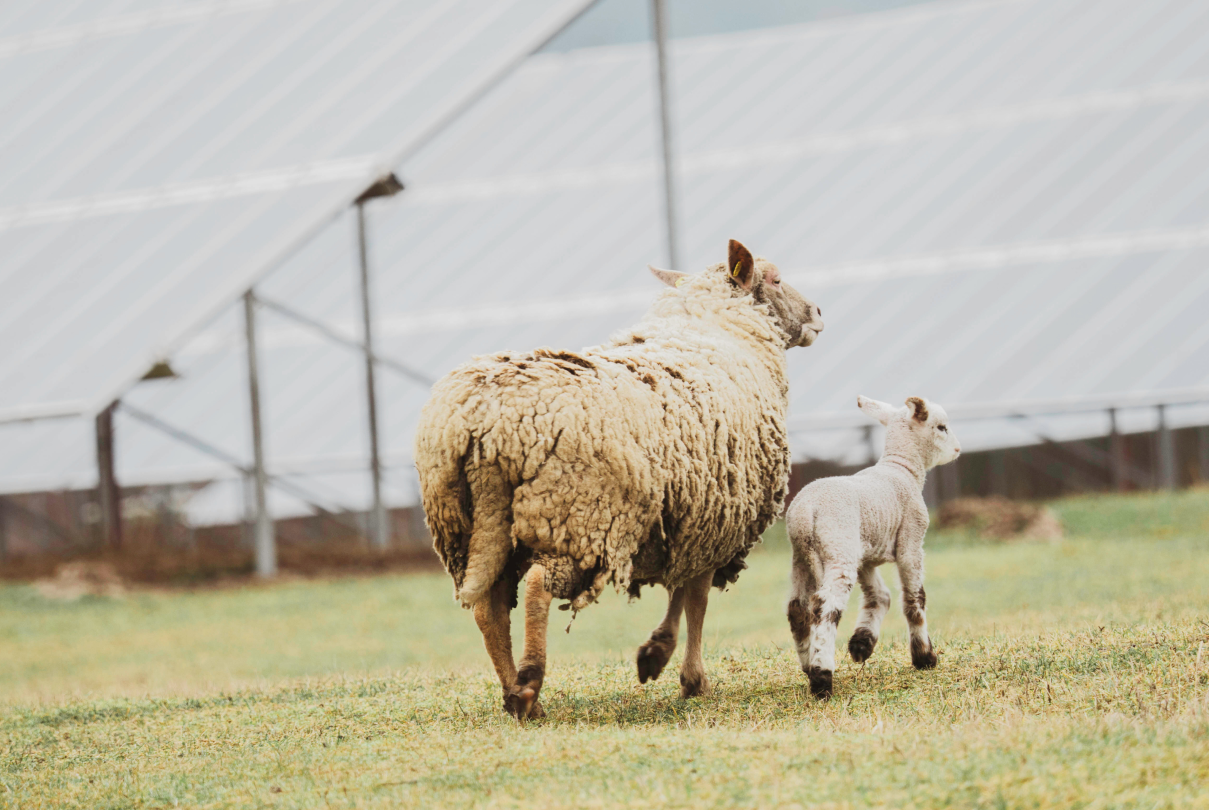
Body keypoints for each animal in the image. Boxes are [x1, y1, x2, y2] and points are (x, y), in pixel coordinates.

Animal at [413, 241, 822, 725]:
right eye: (774, 278)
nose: (818, 313)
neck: (714, 331)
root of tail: (485, 427)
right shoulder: (711, 521)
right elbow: (694, 598)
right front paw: (684, 674)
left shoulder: (686, 517)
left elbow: (683, 592)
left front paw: (660, 657)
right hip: (574, 516)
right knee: (536, 588)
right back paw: (529, 684)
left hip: (468, 528)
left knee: (488, 610)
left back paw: (517, 697)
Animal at [783, 396, 962, 701]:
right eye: (941, 427)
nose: (959, 449)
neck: (902, 469)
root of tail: (805, 513)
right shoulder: (911, 540)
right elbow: (914, 599)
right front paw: (924, 657)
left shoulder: (865, 556)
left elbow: (879, 597)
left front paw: (861, 645)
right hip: (839, 548)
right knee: (825, 607)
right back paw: (822, 677)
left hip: (802, 557)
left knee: (798, 609)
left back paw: (808, 664)